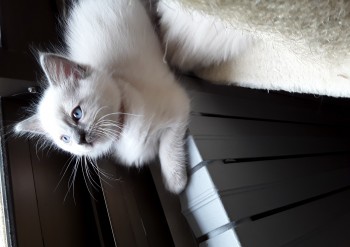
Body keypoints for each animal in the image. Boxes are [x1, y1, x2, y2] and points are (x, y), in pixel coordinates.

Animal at [13, 0, 190, 193]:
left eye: (77, 114)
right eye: (65, 139)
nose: (80, 140)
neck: (124, 130)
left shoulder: (178, 108)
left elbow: (169, 148)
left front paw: (176, 183)